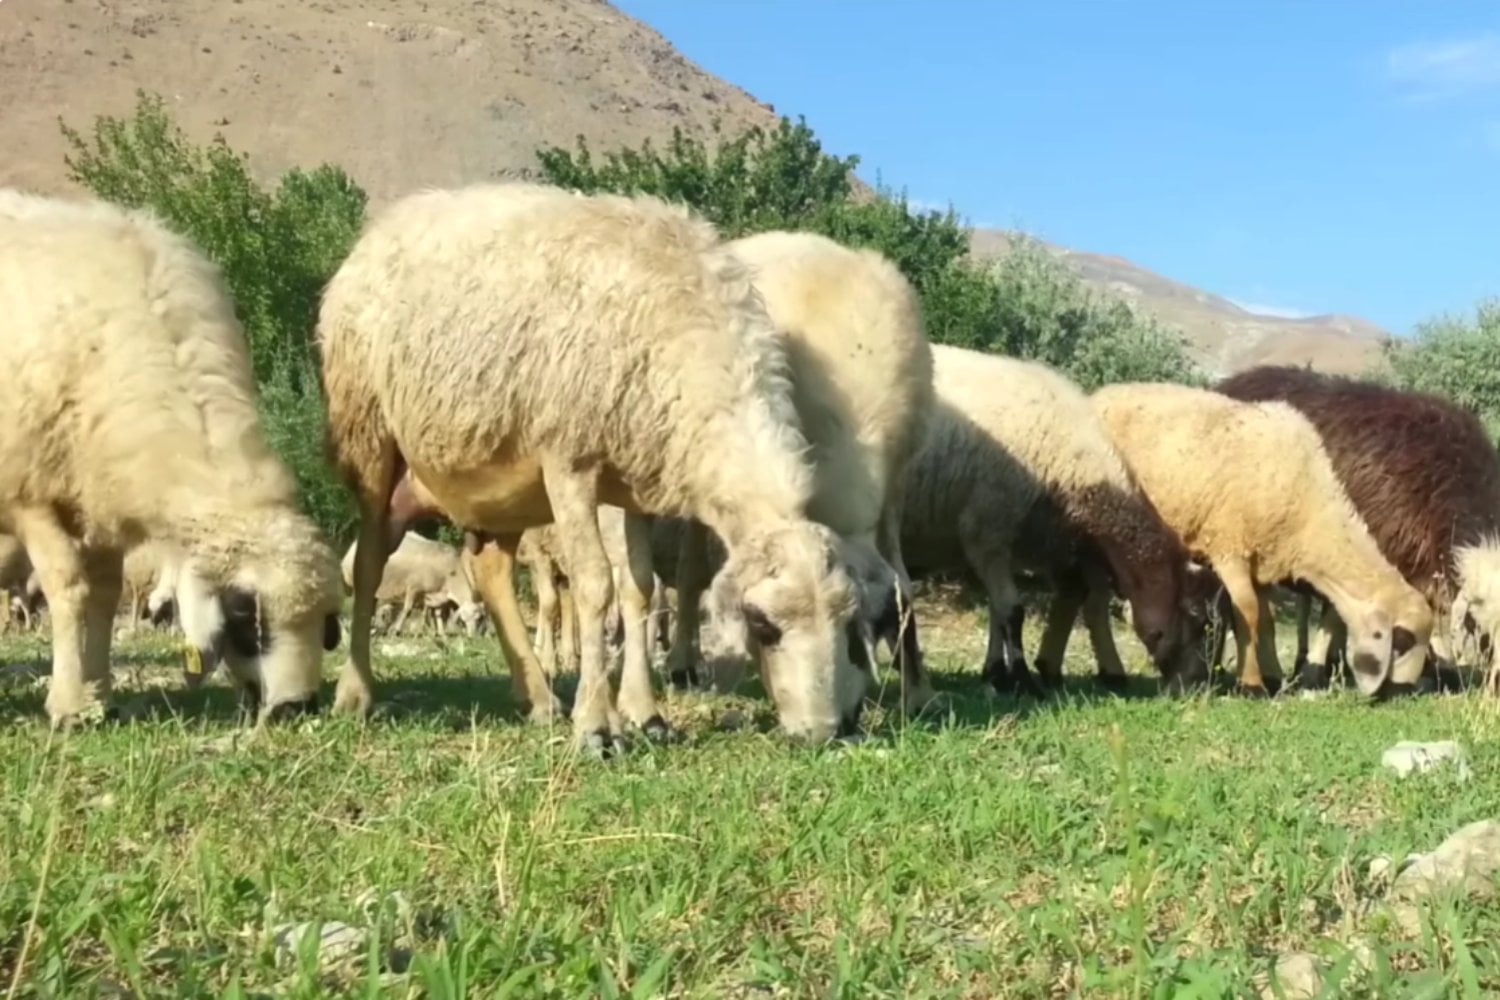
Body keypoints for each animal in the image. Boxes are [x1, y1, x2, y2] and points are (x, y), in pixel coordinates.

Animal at [0, 189, 345, 726]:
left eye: (329, 622)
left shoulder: (102, 497)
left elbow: (104, 595)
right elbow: (70, 588)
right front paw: (70, 705)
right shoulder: (28, 496)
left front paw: (100, 698)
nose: (294, 708)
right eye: (243, 610)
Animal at [339, 531, 483, 637]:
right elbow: (407, 610)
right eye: (464, 619)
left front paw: (441, 633)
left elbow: (438, 614)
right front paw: (396, 630)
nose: (473, 636)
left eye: (479, 618)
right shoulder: (414, 588)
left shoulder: (437, 594)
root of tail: (353, 546)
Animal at [664, 230, 937, 711]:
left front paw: (918, 690)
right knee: (691, 567)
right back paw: (682, 660)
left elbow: (903, 586)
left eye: (853, 628)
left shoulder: (896, 488)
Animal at [899, 346, 1195, 695]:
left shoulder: (1005, 543)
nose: (1182, 681)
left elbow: (998, 612)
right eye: (1178, 606)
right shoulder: (987, 530)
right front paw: (1021, 679)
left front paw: (997, 672)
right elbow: (1012, 612)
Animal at [1089, 381, 1434, 697]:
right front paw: (1252, 684)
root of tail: (1101, 394)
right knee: (1094, 603)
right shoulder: (1229, 549)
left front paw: (1271, 678)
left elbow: (1264, 621)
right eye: (1403, 639)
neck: (1310, 514)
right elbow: (1249, 612)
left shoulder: (1265, 560)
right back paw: (1112, 672)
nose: (1403, 692)